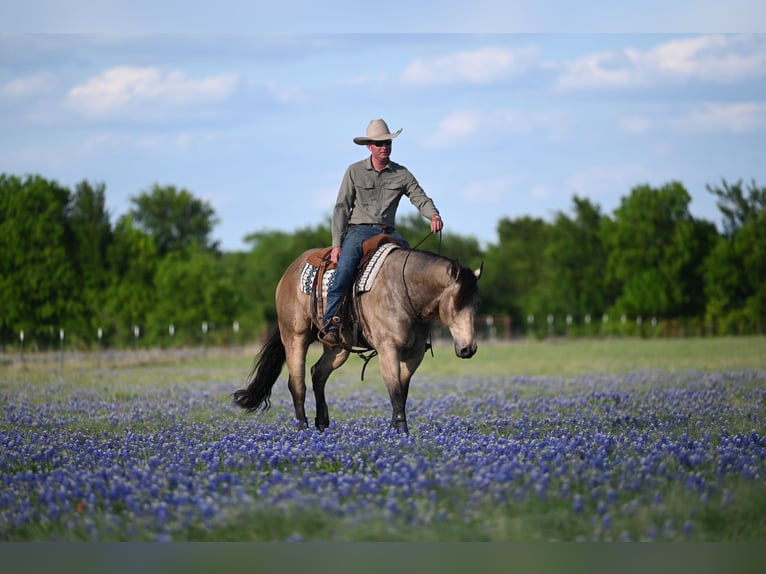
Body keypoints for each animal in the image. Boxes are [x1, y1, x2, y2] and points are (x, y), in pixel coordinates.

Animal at [233, 244, 482, 434]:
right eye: (456, 303)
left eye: (476, 303)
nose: (468, 349)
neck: (403, 290)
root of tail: (289, 272)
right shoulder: (388, 348)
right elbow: (395, 391)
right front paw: (401, 432)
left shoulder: (414, 353)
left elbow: (402, 391)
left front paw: (396, 430)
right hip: (295, 337)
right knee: (297, 383)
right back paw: (303, 427)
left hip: (337, 348)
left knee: (318, 374)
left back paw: (322, 424)